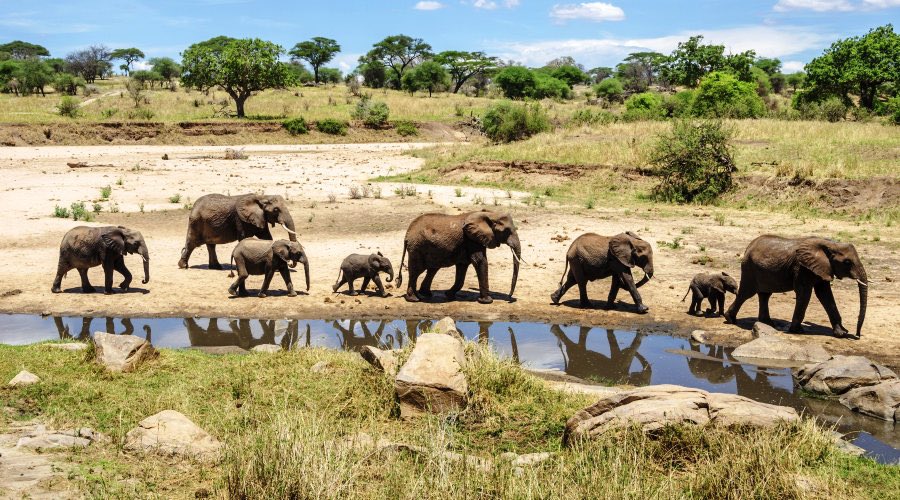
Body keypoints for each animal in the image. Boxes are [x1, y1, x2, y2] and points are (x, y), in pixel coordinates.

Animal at [724, 235, 868, 338]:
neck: (829, 244)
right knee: (746, 293)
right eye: (847, 262)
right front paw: (797, 331)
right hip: (749, 268)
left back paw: (768, 323)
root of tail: (749, 246)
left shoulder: (822, 268)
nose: (857, 335)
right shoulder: (802, 268)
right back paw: (730, 319)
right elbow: (805, 293)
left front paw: (841, 333)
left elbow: (825, 295)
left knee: (765, 295)